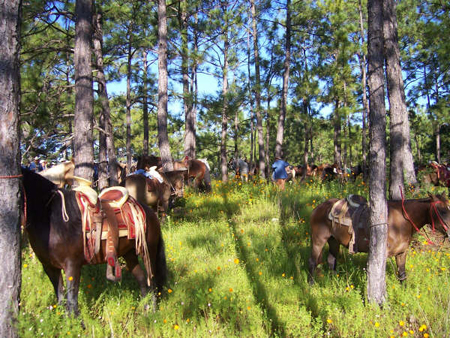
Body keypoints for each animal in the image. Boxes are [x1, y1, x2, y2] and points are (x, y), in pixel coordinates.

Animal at [20, 168, 166, 314]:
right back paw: (145, 309)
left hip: (148, 251)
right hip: (129, 253)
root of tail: (148, 211)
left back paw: (153, 311)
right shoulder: (49, 267)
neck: (53, 219)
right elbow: (61, 298)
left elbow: (72, 301)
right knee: (141, 279)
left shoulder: (72, 265)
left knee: (152, 280)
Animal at [308, 193, 450, 282]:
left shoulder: (401, 253)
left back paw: (334, 281)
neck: (402, 221)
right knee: (312, 262)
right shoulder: (384, 254)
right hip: (318, 240)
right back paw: (311, 285)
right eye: (443, 211)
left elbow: (402, 275)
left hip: (334, 241)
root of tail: (318, 208)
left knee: (331, 260)